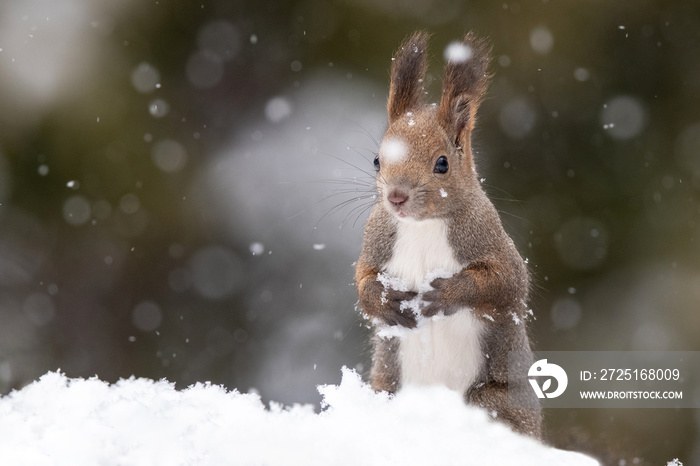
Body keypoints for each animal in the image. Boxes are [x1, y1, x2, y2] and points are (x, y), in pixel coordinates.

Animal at [356, 31, 540, 438]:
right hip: (385, 386)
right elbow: (362, 280)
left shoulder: (488, 239)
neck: (423, 225)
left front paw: (446, 294)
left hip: (494, 399)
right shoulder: (375, 240)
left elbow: (506, 282)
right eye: (377, 160)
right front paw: (386, 301)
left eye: (442, 163)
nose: (396, 196)